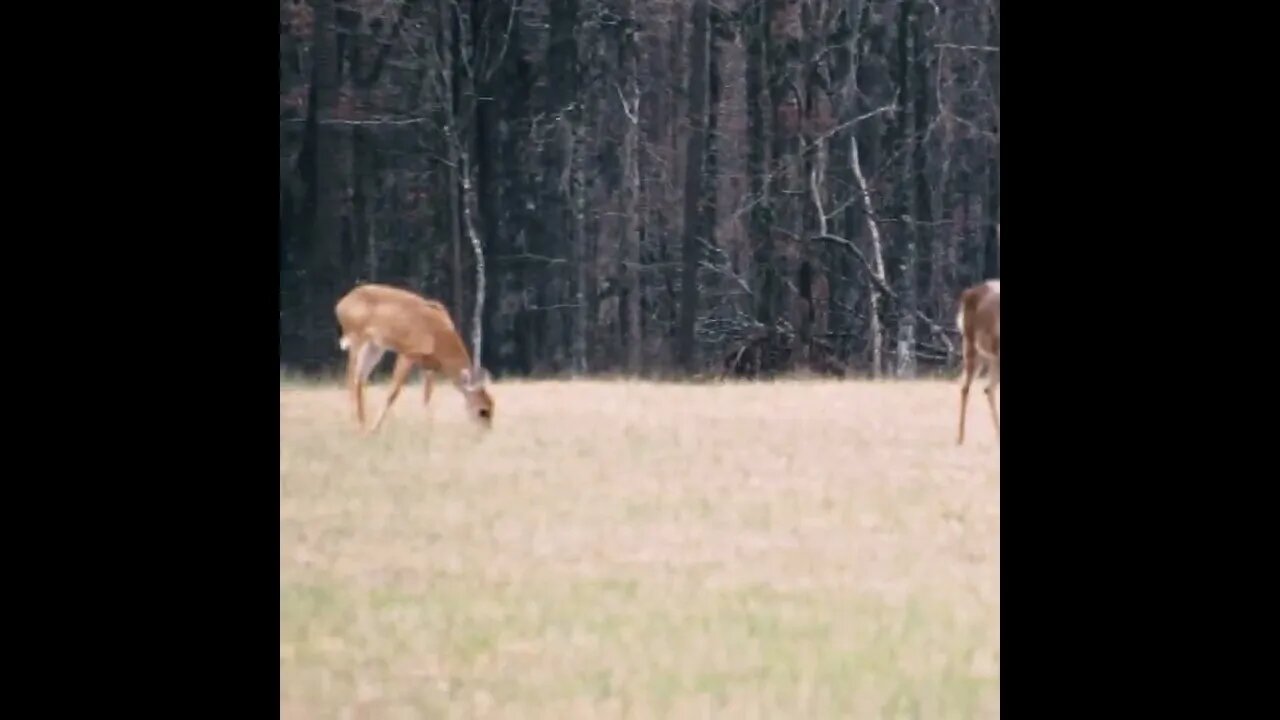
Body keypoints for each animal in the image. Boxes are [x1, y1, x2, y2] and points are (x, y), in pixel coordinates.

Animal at [334, 283, 495, 434]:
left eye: (492, 406)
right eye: (482, 411)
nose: (485, 432)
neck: (438, 336)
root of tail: (341, 304)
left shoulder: (429, 365)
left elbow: (427, 397)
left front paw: (428, 428)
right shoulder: (408, 353)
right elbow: (392, 393)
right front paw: (374, 430)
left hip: (375, 347)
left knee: (360, 380)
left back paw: (361, 422)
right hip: (357, 339)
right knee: (351, 379)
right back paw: (357, 425)